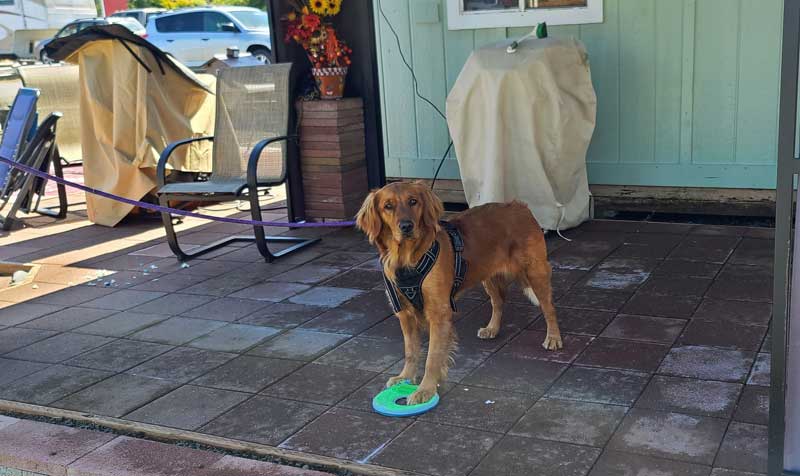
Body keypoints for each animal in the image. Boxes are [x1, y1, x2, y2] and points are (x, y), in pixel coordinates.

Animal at [356, 180, 564, 404]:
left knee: (549, 307)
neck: (406, 259)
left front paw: (425, 390)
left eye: (413, 201)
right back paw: (492, 328)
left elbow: (432, 357)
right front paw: (405, 377)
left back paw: (553, 337)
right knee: (498, 302)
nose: (406, 226)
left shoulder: (439, 313)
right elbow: (411, 351)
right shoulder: (405, 314)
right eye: (388, 206)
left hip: (535, 272)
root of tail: (520, 206)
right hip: (487, 275)